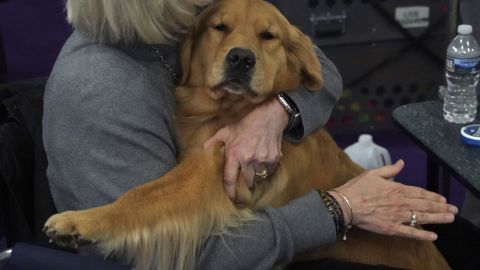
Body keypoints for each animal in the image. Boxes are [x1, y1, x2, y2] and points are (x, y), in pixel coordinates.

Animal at [42, 0, 450, 268]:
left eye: (268, 36)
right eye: (219, 27)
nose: (241, 58)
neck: (225, 110)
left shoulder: (209, 169)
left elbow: (143, 196)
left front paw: (81, 221)